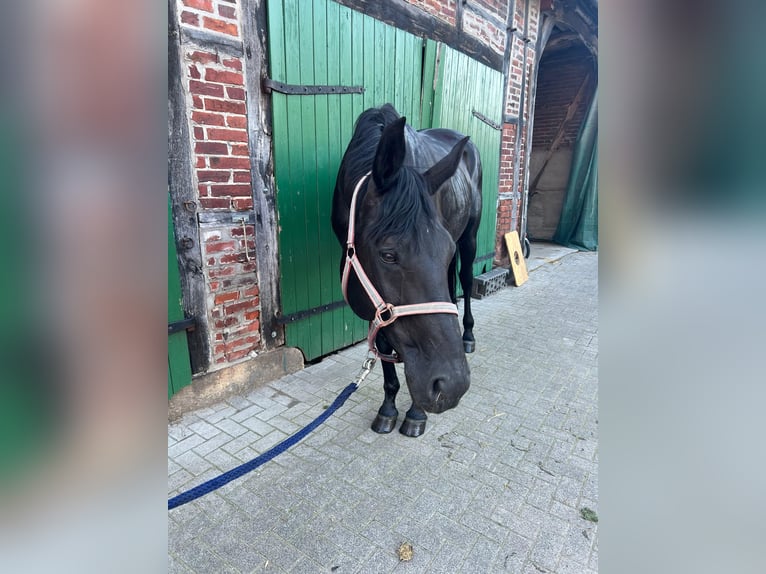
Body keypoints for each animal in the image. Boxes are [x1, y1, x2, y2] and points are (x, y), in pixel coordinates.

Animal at [332, 104, 486, 436]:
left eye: (444, 249)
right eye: (388, 255)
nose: (452, 384)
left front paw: (415, 413)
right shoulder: (370, 294)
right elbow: (383, 345)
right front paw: (388, 408)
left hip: (468, 237)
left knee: (466, 281)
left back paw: (467, 335)